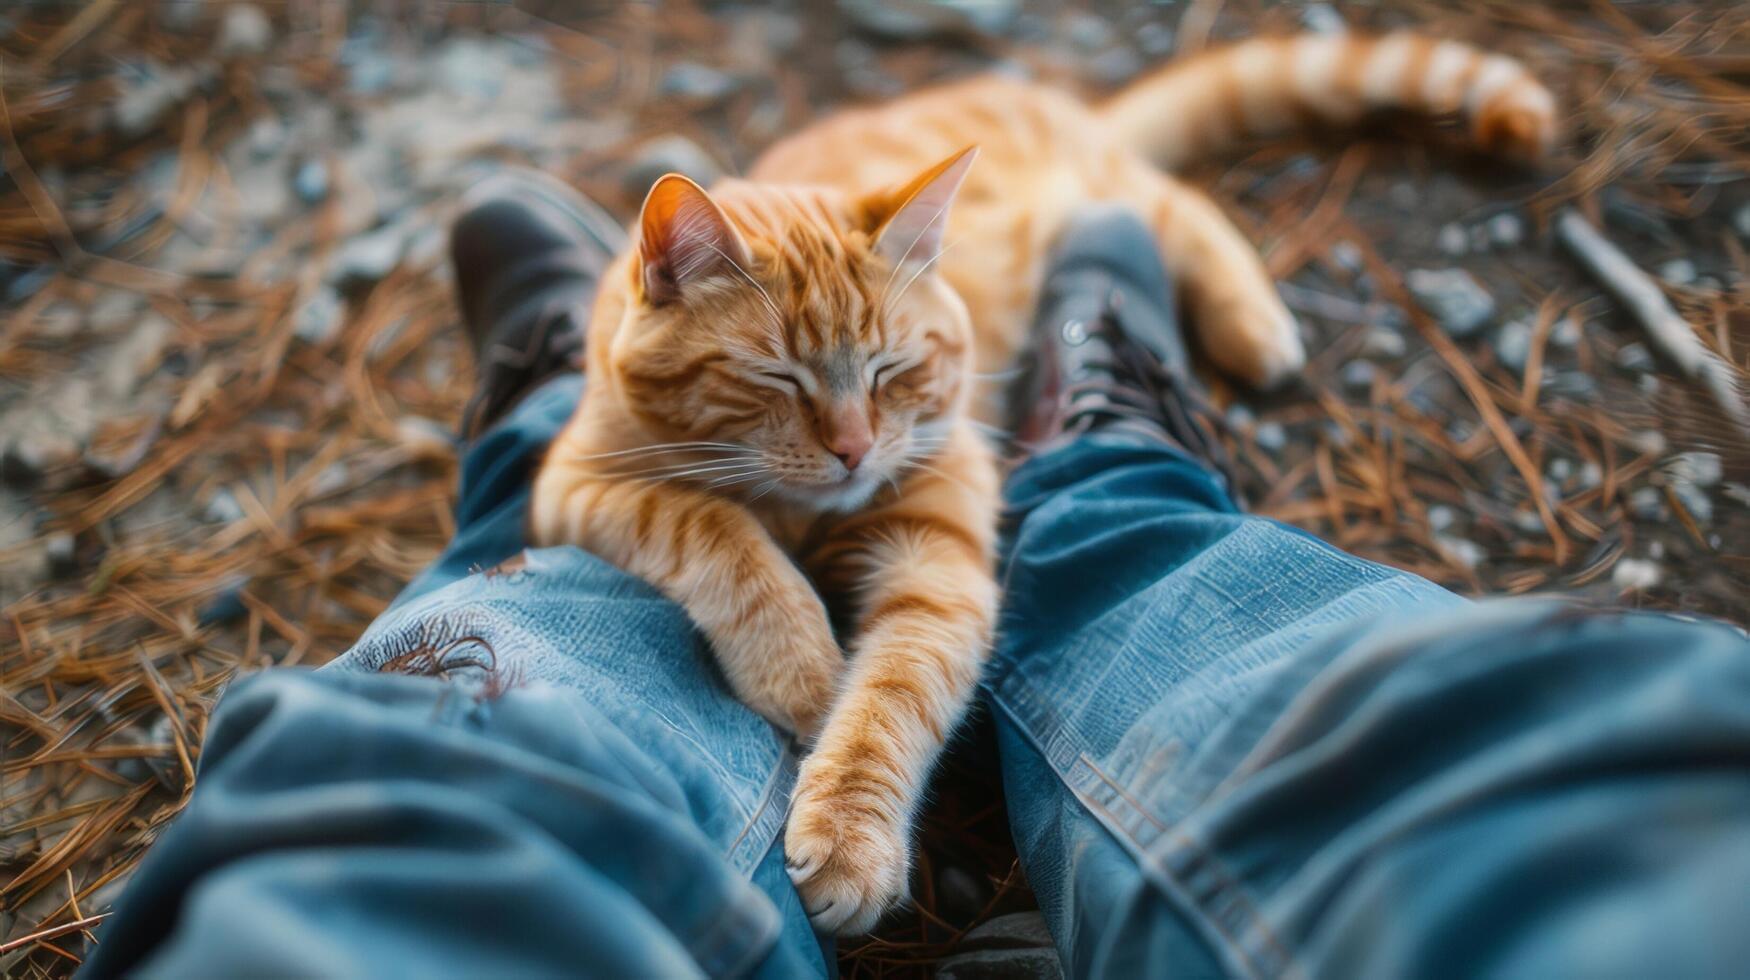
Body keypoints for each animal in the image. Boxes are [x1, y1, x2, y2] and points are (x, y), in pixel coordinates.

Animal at [532, 32, 1561, 931]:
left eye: (892, 370)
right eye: (777, 380)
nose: (856, 451)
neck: (805, 513)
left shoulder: (941, 555)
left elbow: (892, 697)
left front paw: (851, 834)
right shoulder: (576, 485)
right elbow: (716, 529)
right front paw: (800, 663)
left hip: (1112, 193)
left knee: (1175, 207)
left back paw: (1254, 322)